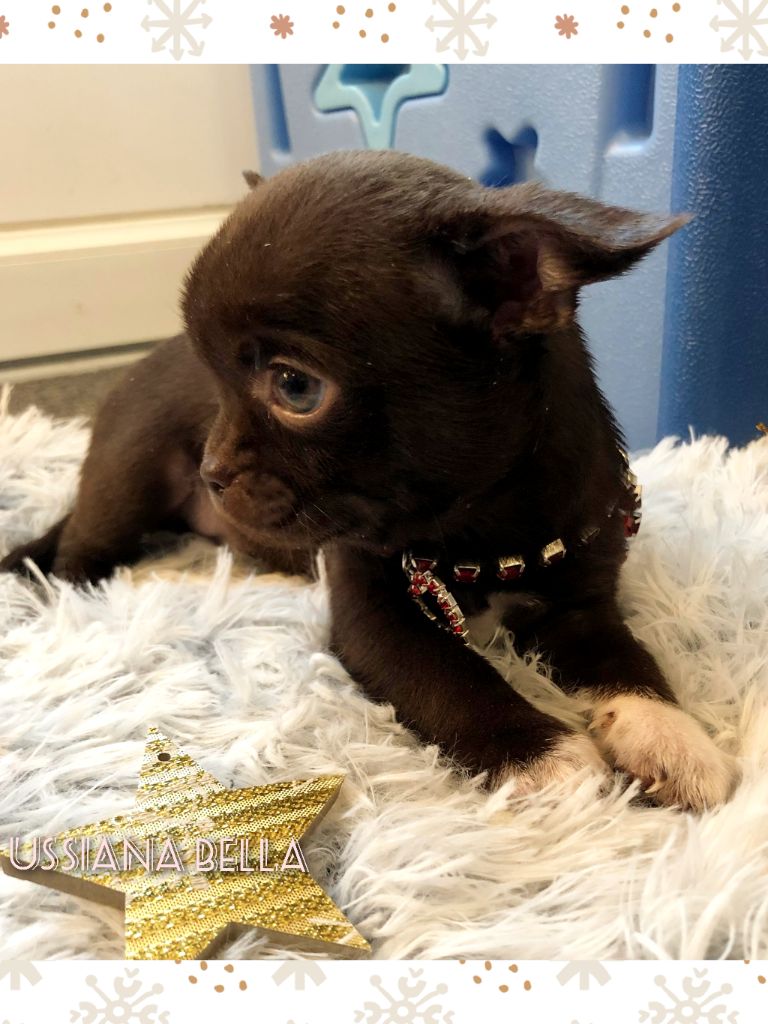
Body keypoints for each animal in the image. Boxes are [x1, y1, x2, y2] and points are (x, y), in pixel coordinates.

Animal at [1, 150, 736, 810]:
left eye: (295, 388)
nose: (213, 470)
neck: (481, 528)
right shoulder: (374, 618)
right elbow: (454, 679)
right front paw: (547, 761)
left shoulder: (580, 605)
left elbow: (629, 661)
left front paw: (672, 736)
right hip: (128, 479)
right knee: (75, 553)